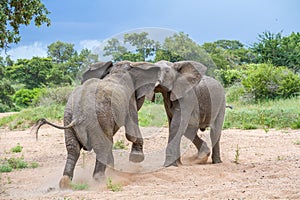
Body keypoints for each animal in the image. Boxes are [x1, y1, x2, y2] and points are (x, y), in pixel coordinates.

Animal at [33, 61, 162, 189]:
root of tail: (78, 115)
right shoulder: (129, 102)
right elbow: (131, 131)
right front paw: (136, 158)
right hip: (96, 119)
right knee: (102, 146)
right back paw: (101, 180)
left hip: (68, 116)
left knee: (73, 148)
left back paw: (66, 182)